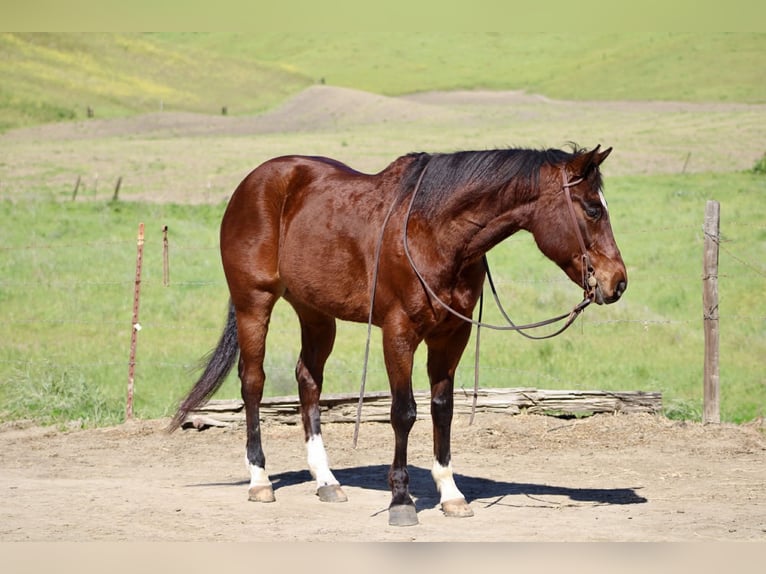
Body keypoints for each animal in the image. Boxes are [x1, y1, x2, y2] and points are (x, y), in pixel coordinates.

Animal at [168, 144, 627, 527]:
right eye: (592, 210)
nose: (617, 282)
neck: (436, 232)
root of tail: (254, 182)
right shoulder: (399, 333)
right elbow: (404, 413)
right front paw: (402, 501)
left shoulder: (452, 335)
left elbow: (442, 410)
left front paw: (451, 494)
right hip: (254, 304)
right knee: (253, 383)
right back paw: (260, 479)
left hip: (316, 313)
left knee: (308, 380)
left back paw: (326, 480)